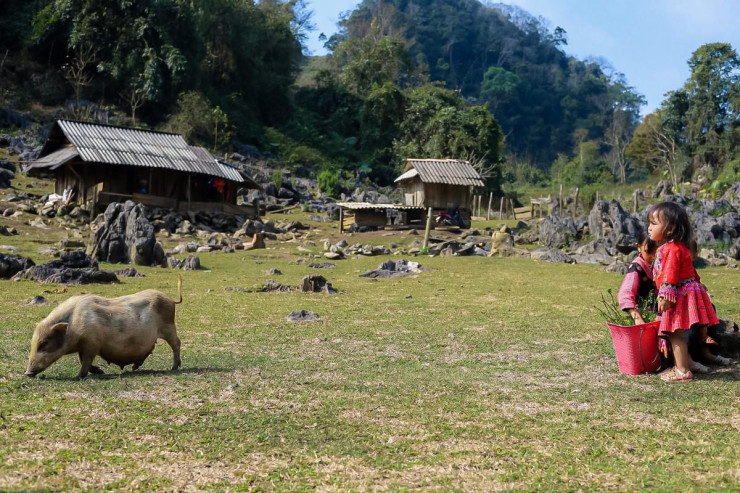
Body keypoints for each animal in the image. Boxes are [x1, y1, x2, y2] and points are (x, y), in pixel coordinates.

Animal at [26, 274, 184, 378]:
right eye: (32, 343)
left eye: (44, 342)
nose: (27, 372)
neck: (73, 325)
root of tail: (171, 300)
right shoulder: (84, 346)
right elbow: (81, 359)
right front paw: (100, 372)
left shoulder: (92, 344)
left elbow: (85, 361)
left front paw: (78, 377)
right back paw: (134, 368)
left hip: (169, 326)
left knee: (177, 343)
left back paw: (173, 368)